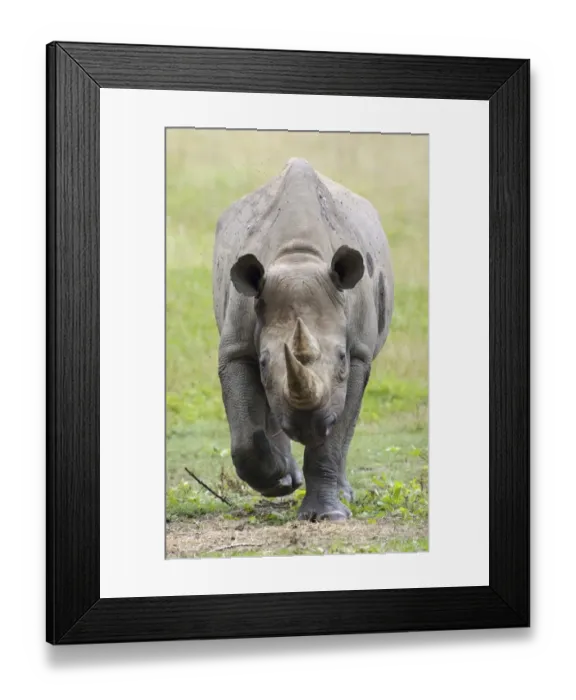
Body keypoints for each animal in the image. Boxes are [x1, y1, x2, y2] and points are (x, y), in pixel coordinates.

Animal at [212, 158, 394, 521]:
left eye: (340, 358)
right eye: (264, 363)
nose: (307, 426)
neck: (297, 258)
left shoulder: (358, 354)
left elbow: (335, 433)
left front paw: (329, 516)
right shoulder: (236, 348)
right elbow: (245, 432)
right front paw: (277, 482)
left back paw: (342, 495)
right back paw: (285, 477)